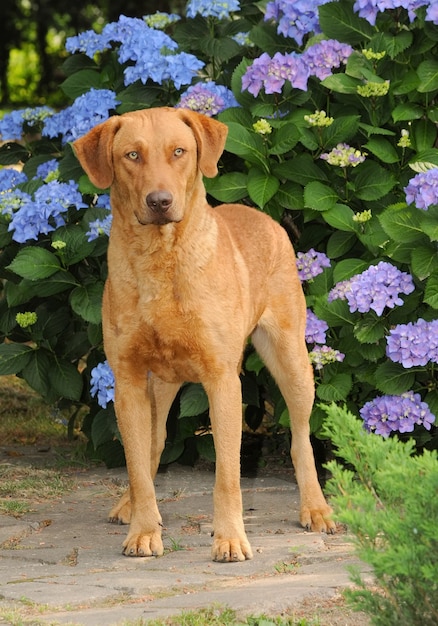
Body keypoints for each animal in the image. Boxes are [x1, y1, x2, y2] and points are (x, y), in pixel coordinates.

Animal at [74, 107, 336, 560]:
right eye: (131, 155)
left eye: (179, 151)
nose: (159, 202)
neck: (161, 257)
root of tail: (262, 214)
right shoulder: (127, 378)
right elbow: (137, 465)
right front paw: (144, 530)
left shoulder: (222, 380)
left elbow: (228, 474)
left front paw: (230, 538)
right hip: (159, 385)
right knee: (153, 443)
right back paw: (129, 505)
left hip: (292, 360)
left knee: (301, 437)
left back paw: (315, 509)